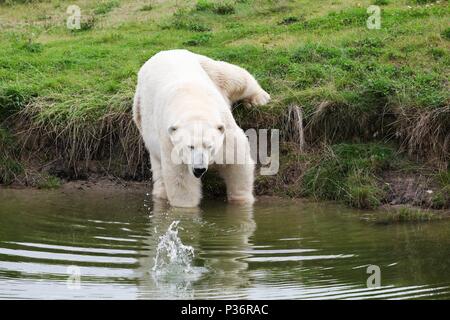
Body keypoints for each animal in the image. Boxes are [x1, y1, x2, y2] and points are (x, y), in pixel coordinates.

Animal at [132, 48, 268, 206]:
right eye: (190, 146)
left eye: (209, 146)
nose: (199, 169)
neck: (193, 105)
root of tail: (163, 52)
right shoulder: (170, 143)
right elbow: (181, 181)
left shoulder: (226, 130)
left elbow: (237, 160)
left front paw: (241, 201)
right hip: (140, 109)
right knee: (157, 166)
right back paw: (161, 194)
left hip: (205, 66)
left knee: (231, 77)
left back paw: (258, 99)